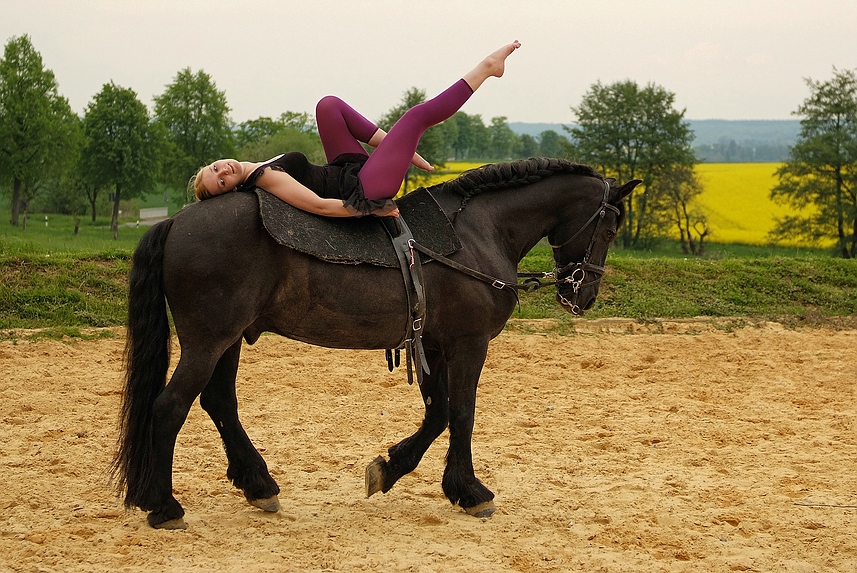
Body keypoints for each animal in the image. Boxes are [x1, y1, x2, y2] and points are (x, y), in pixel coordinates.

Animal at [112, 156, 636, 528]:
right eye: (611, 226)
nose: (584, 293)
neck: (477, 232)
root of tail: (176, 221)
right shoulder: (469, 344)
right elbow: (463, 414)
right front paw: (471, 492)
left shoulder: (435, 344)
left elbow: (439, 413)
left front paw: (392, 467)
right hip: (208, 341)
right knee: (170, 407)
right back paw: (165, 506)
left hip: (229, 340)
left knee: (219, 403)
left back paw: (259, 485)